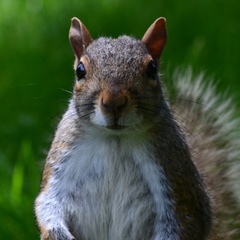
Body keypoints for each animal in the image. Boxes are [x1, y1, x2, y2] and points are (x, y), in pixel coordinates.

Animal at [34, 16, 240, 240]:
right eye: (80, 70)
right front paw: (58, 234)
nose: (113, 102)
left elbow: (183, 220)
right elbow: (48, 204)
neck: (115, 139)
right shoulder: (62, 158)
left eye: (152, 69)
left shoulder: (174, 174)